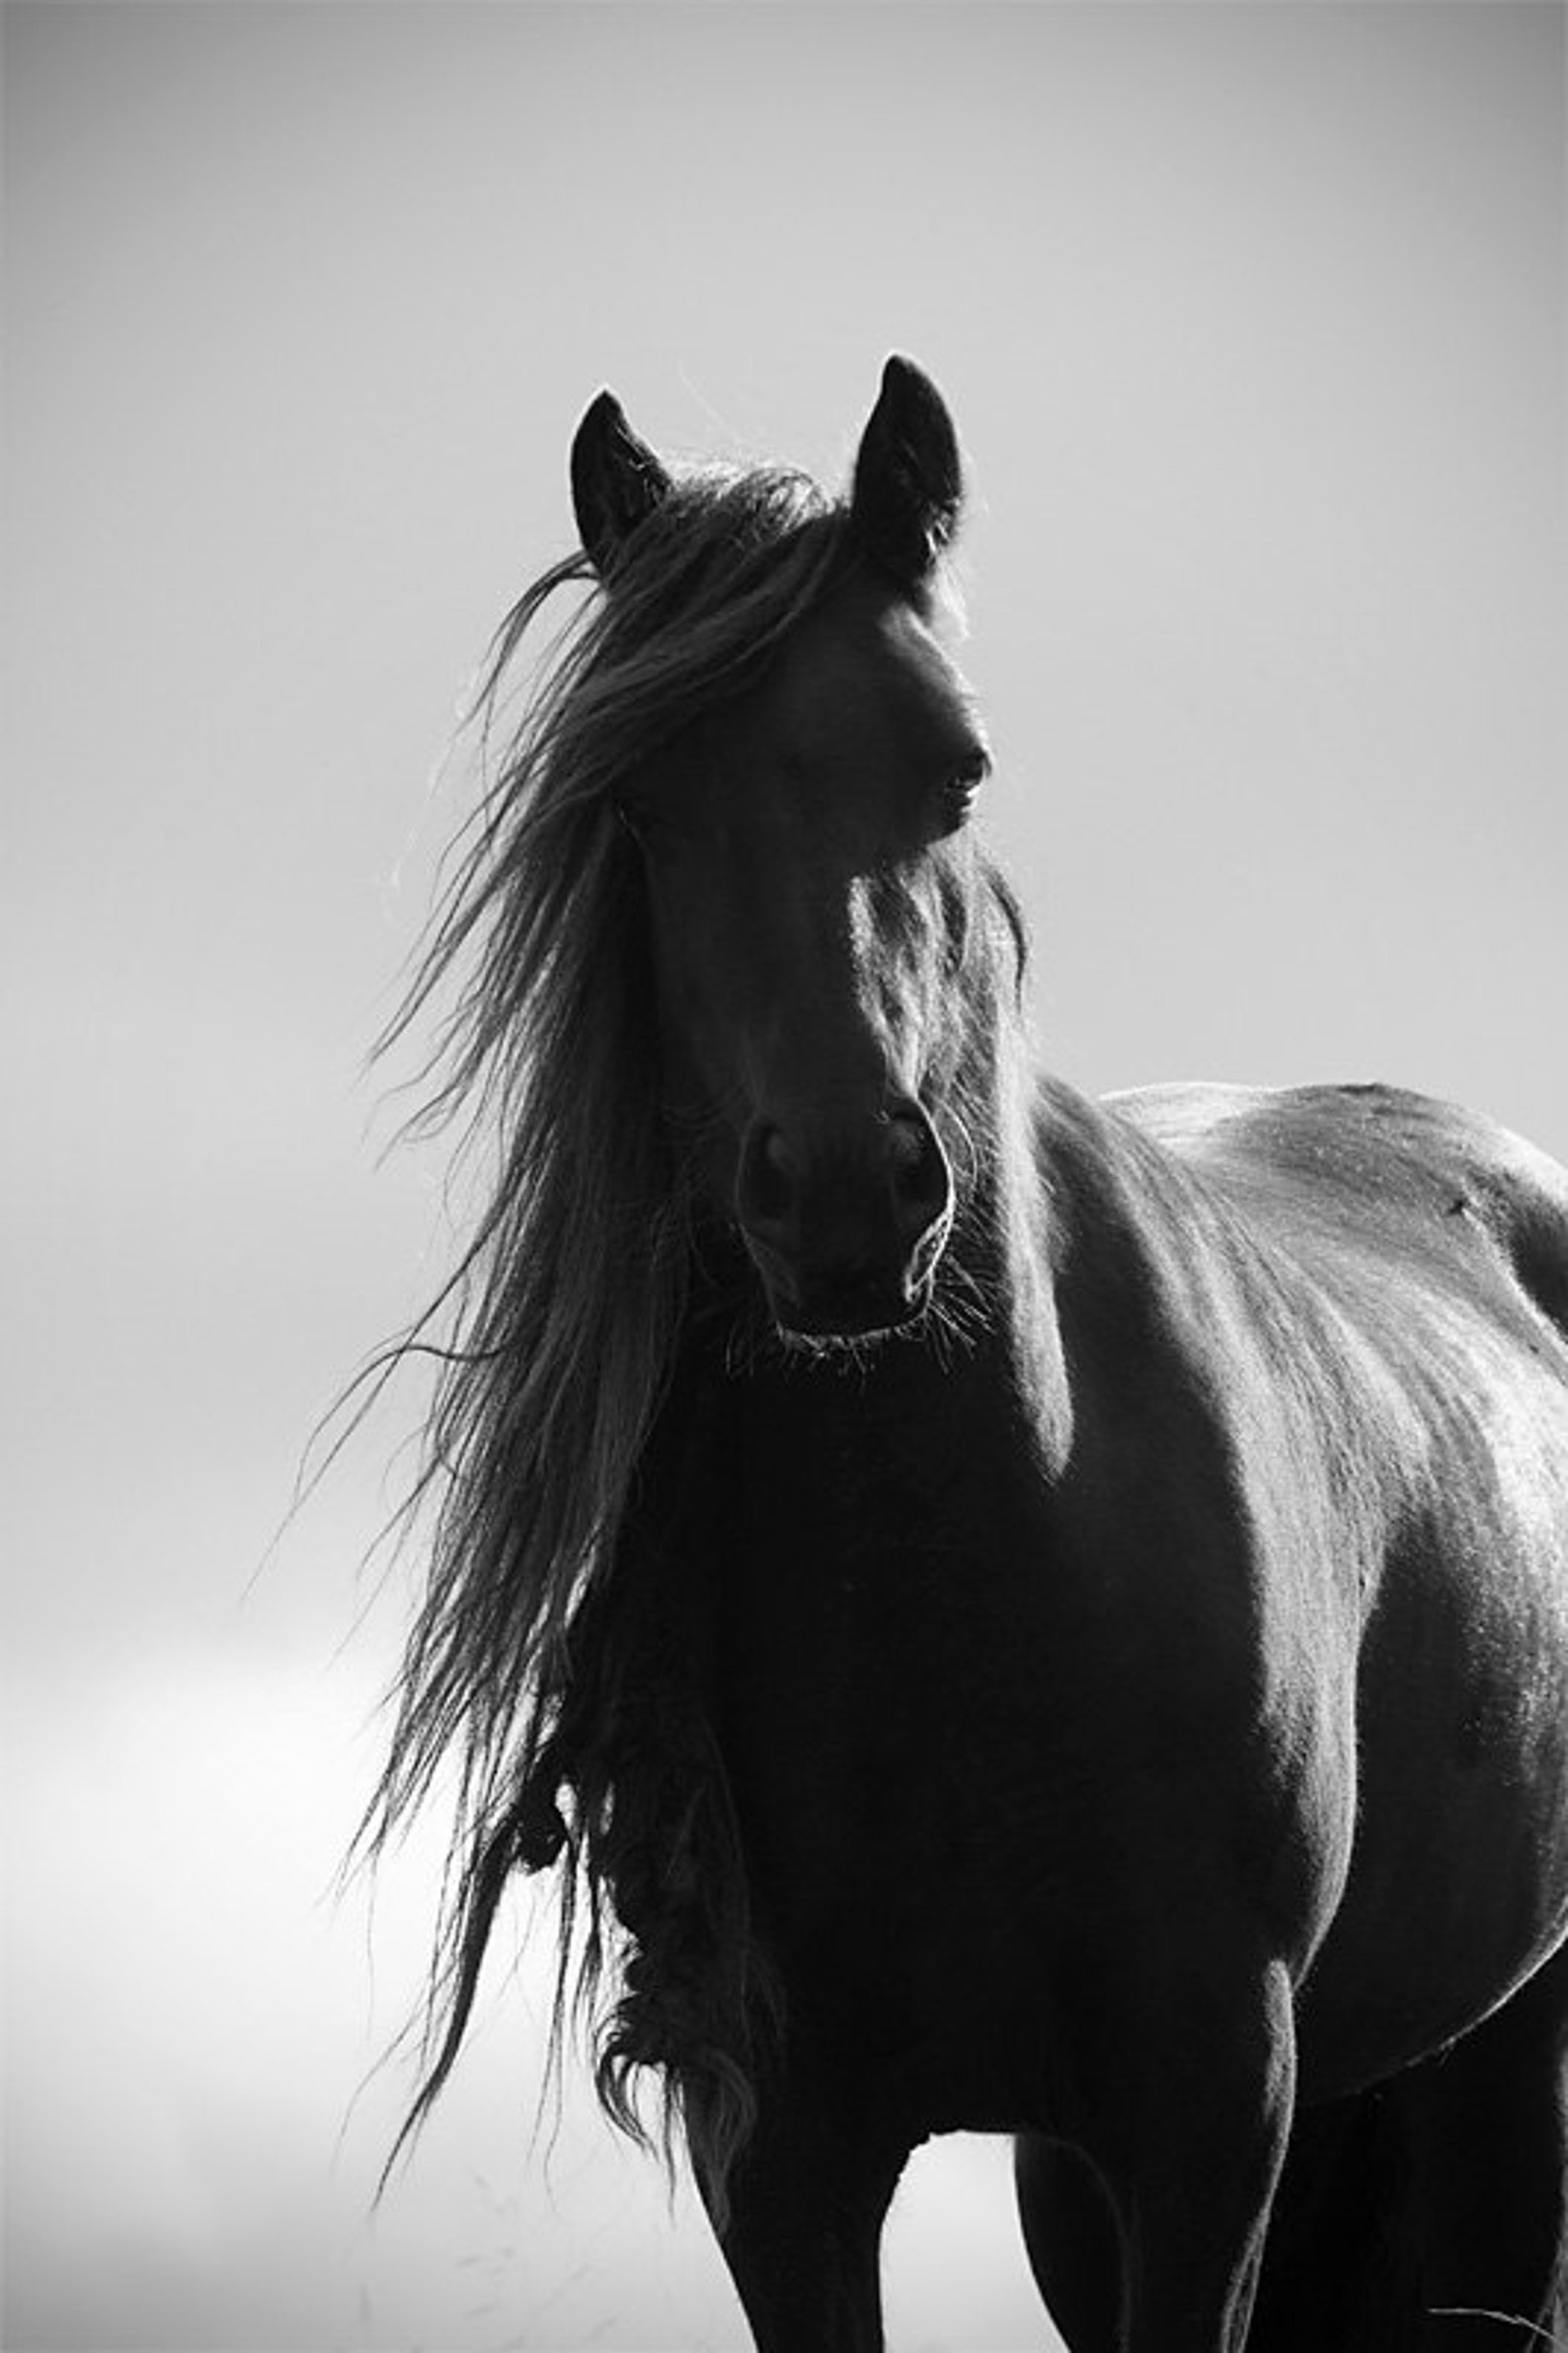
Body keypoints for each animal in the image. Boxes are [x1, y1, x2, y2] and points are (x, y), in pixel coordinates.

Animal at [368, 357, 1568, 2350]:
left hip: (1494, 2069)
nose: (852, 1192)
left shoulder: (1205, 2113)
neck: (970, 1567)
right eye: (641, 803)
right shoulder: (783, 2154)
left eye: (959, 767)